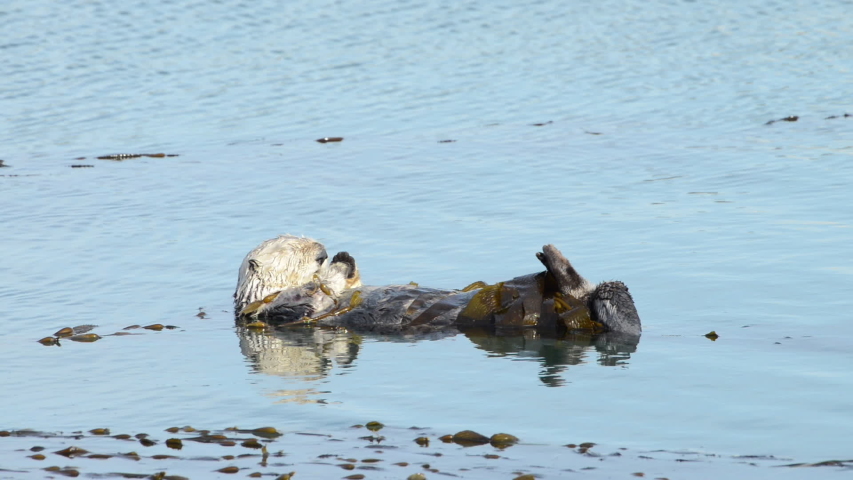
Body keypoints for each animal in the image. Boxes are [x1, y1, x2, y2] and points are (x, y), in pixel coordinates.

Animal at [234, 236, 641, 338]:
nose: (322, 251)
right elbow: (310, 297)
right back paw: (555, 261)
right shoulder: (278, 308)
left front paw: (345, 260)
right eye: (291, 248)